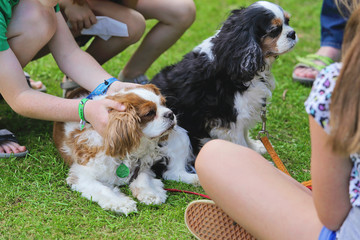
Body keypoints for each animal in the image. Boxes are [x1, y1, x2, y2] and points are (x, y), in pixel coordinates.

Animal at [53, 85, 198, 216]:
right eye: (149, 113)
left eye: (164, 103)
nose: (170, 114)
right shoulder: (82, 175)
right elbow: (102, 189)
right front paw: (120, 203)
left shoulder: (142, 165)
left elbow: (143, 177)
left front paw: (150, 193)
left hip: (180, 137)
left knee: (174, 172)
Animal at [150, 1, 296, 156]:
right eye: (275, 30)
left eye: (288, 21)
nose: (293, 33)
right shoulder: (229, 118)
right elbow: (240, 142)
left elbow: (245, 134)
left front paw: (255, 148)